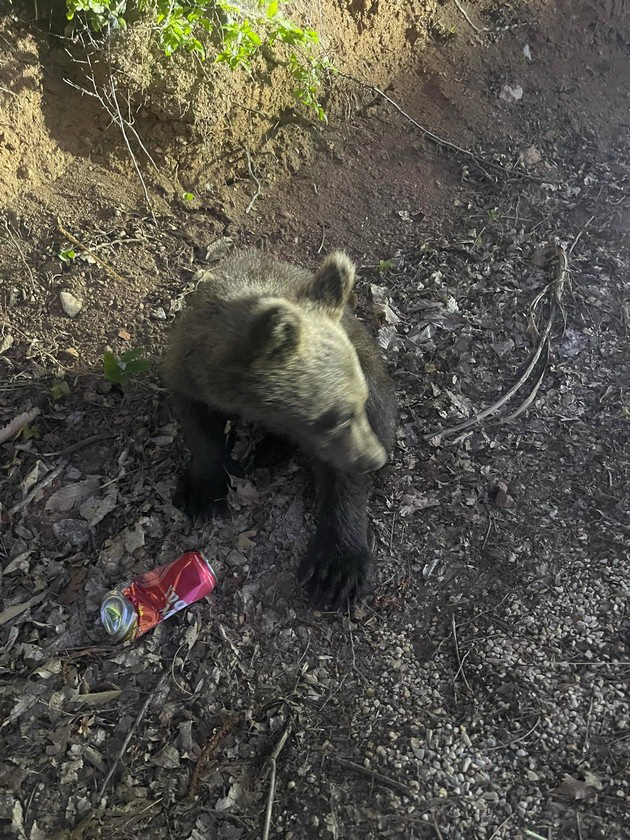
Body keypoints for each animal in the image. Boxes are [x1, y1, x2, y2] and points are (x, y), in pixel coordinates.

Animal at [164, 246, 400, 608]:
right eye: (336, 417)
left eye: (358, 403)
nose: (375, 458)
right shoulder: (189, 368)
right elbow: (198, 427)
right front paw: (202, 495)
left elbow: (343, 478)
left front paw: (336, 569)